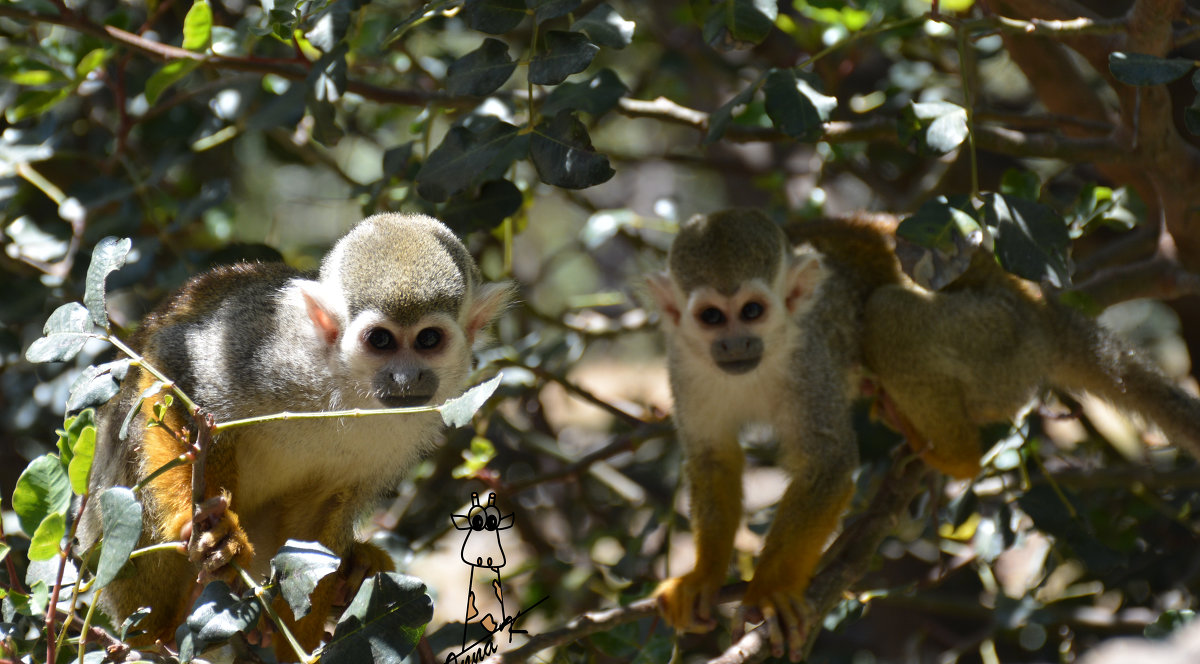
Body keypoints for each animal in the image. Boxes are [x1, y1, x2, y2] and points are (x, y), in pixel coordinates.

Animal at [73, 213, 516, 657]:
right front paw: (205, 531)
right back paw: (170, 620)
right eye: (380, 340)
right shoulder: (270, 349)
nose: (406, 378)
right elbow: (173, 364)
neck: (348, 385)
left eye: (428, 339)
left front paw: (297, 645)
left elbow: (320, 520)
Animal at [652, 208, 1200, 657]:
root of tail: (1041, 310)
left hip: (1000, 341)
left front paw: (770, 593)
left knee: (889, 313)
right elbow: (712, 457)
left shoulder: (809, 358)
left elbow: (829, 462)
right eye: (711, 317)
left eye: (752, 311)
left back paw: (949, 454)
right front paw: (704, 579)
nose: (735, 345)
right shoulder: (682, 362)